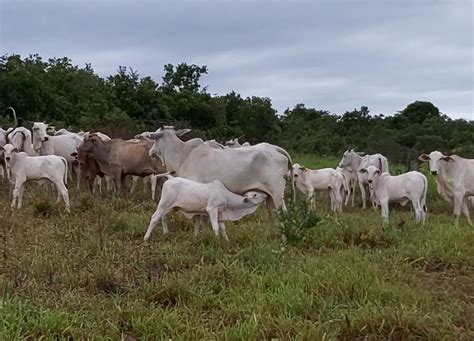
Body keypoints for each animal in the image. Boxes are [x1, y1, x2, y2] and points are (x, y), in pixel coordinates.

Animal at [148, 127, 292, 210]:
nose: (150, 152)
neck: (182, 154)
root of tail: (275, 148)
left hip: (277, 193)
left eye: (154, 138)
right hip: (270, 198)